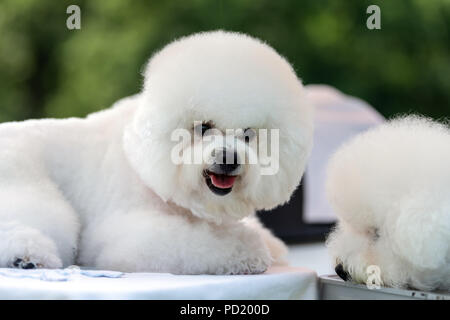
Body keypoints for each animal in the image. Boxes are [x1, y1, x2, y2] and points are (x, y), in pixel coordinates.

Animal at [0, 31, 312, 274]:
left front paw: (270, 245)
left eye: (248, 134)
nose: (229, 159)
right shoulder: (126, 235)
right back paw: (26, 256)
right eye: (203, 127)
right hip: (26, 182)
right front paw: (248, 251)